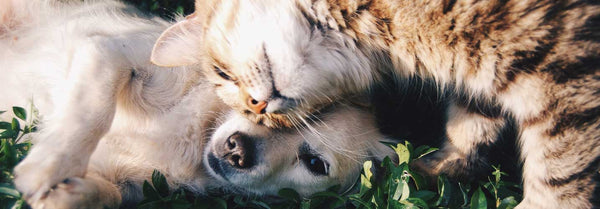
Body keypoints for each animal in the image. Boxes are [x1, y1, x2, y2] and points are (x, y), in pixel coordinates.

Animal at [1, 0, 398, 208]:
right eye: (255, 106)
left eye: (315, 163)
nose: (238, 150)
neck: (197, 137)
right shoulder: (109, 52)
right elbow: (91, 112)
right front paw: (48, 166)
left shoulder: (131, 185)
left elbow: (108, 194)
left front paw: (65, 194)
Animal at [152, 0, 600, 208]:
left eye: (221, 73)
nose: (258, 107)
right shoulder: (483, 73)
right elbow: (471, 126)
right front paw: (434, 171)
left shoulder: (562, 66)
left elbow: (560, 174)